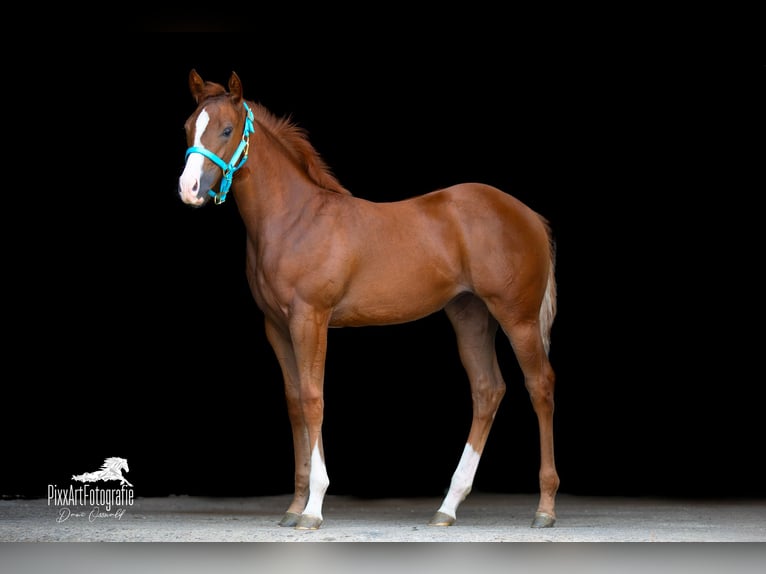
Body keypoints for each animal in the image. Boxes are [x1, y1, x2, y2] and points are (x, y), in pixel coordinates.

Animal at [178, 69, 560, 530]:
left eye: (227, 129)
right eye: (188, 127)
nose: (188, 189)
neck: (295, 220)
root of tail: (529, 215)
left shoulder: (311, 318)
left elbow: (313, 398)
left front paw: (313, 508)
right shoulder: (277, 326)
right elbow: (294, 402)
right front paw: (295, 505)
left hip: (517, 317)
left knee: (540, 387)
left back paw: (545, 507)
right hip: (470, 315)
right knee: (488, 390)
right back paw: (447, 507)